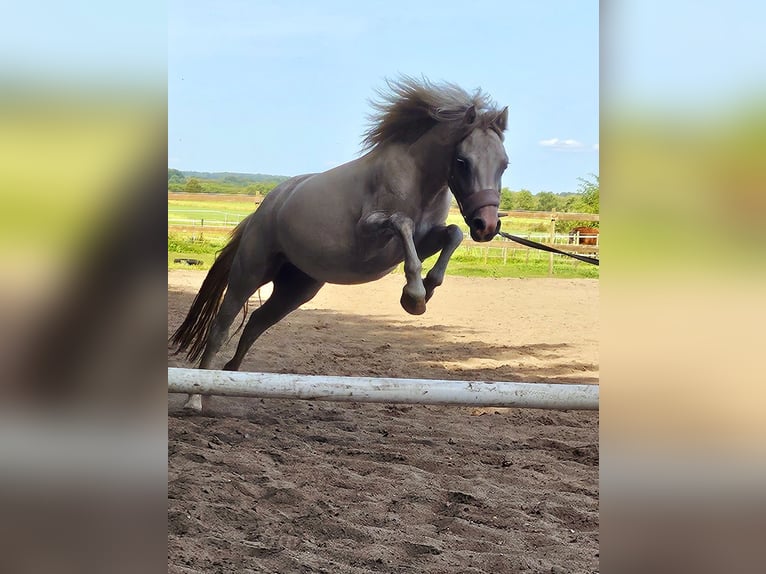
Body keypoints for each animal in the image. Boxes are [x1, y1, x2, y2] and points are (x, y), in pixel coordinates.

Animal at [171, 79, 512, 416]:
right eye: (462, 161)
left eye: (504, 164)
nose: (486, 226)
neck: (418, 180)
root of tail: (265, 207)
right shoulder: (372, 231)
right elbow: (403, 224)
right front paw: (414, 297)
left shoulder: (424, 239)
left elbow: (453, 234)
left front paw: (425, 290)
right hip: (249, 274)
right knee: (221, 326)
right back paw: (195, 398)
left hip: (297, 288)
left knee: (256, 323)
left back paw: (227, 381)